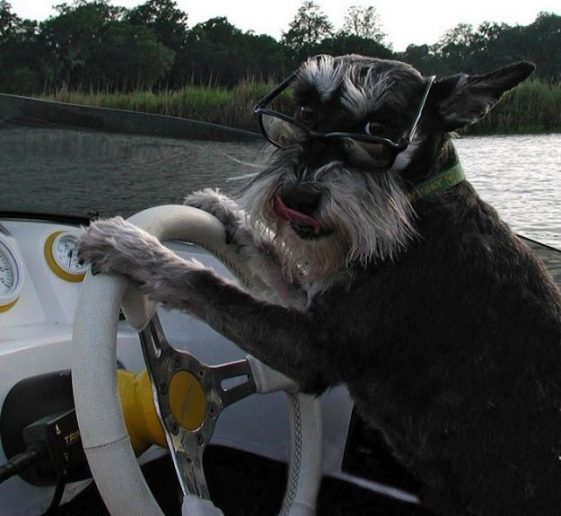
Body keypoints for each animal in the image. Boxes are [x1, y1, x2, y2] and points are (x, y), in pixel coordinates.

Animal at [79, 55, 560, 516]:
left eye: (377, 130)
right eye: (306, 112)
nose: (298, 196)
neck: (419, 208)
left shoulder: (312, 349)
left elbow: (209, 285)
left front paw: (129, 245)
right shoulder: (310, 299)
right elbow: (268, 254)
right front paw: (222, 209)